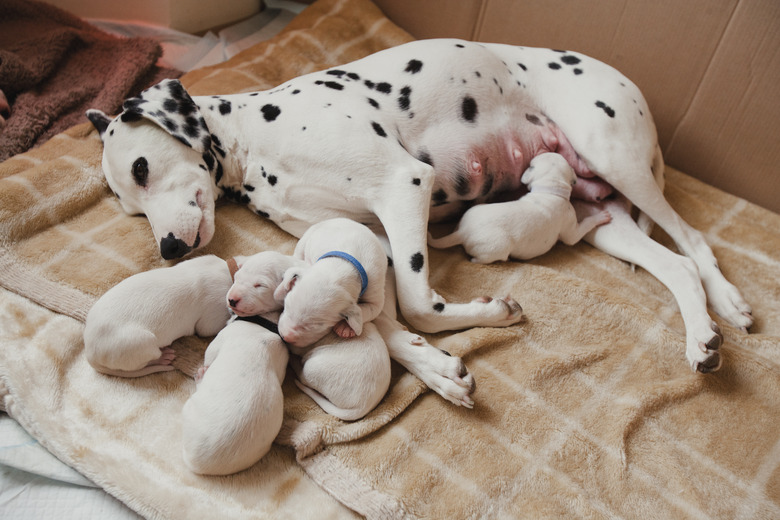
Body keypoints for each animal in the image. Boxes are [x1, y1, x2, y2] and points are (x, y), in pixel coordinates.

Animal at [85, 254, 233, 376]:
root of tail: (90, 353)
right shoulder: (212, 313)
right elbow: (207, 329)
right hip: (143, 344)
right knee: (146, 361)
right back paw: (163, 357)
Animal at [272, 217, 388, 348]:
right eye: (286, 305)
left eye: (317, 326)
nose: (286, 336)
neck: (342, 266)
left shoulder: (375, 294)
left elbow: (366, 310)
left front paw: (345, 327)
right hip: (307, 237)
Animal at [430, 151, 612, 264]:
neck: (549, 190)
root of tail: (463, 232)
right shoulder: (571, 229)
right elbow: (581, 229)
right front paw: (601, 216)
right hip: (498, 247)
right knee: (483, 258)